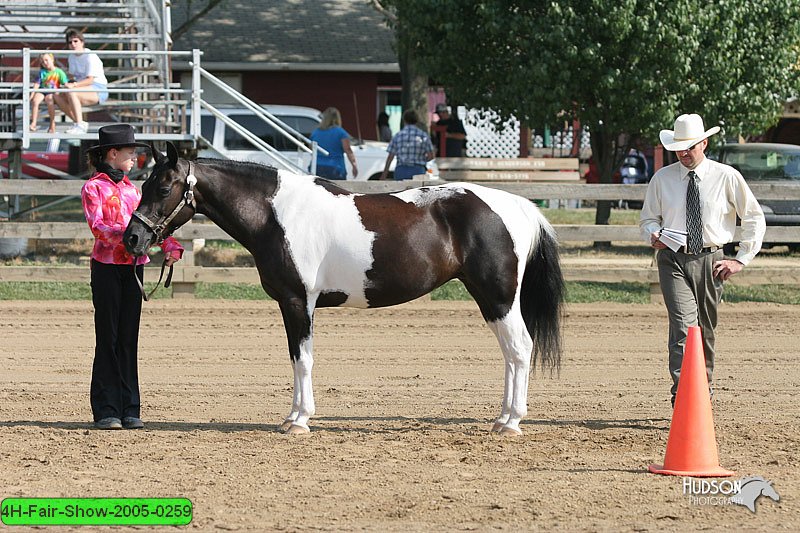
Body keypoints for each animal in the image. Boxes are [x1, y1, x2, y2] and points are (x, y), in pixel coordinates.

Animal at [123, 143, 564, 434]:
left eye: (163, 188)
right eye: (142, 185)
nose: (132, 239)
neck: (276, 215)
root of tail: (519, 206)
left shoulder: (297, 302)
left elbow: (302, 359)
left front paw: (299, 421)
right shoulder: (294, 305)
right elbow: (297, 358)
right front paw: (293, 416)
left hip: (498, 297)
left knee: (520, 349)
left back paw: (512, 422)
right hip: (490, 299)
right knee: (510, 353)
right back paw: (502, 418)